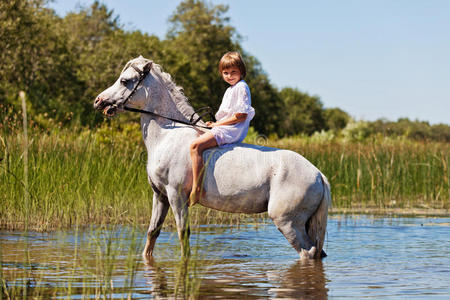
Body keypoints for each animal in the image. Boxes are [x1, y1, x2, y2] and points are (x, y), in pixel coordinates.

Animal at [94, 56, 330, 260]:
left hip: (288, 223)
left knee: (307, 253)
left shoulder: (176, 196)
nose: (99, 101)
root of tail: (319, 174)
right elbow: (152, 232)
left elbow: (183, 234)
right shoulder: (160, 196)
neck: (168, 134)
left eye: (125, 81)